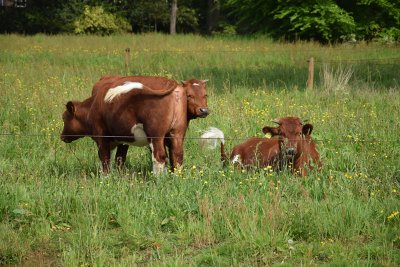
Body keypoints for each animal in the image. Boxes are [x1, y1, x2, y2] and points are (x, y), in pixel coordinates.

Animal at [61, 76, 209, 176]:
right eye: (190, 95)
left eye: (64, 117)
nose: (62, 136)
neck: (94, 106)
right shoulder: (122, 139)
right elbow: (119, 159)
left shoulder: (101, 137)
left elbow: (104, 159)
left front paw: (105, 178)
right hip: (176, 133)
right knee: (177, 156)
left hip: (155, 135)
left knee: (159, 157)